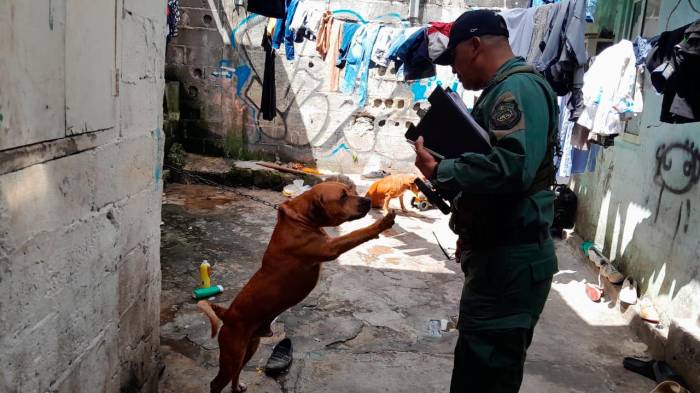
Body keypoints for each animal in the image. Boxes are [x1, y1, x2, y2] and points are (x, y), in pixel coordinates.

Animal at [197, 181, 396, 392]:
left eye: (351, 191)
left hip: (250, 347)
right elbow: (356, 234)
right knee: (216, 382)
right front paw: (381, 224)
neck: (302, 219)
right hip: (231, 355)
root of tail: (227, 314)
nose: (367, 201)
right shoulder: (331, 247)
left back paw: (237, 387)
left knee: (237, 371)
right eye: (343, 196)